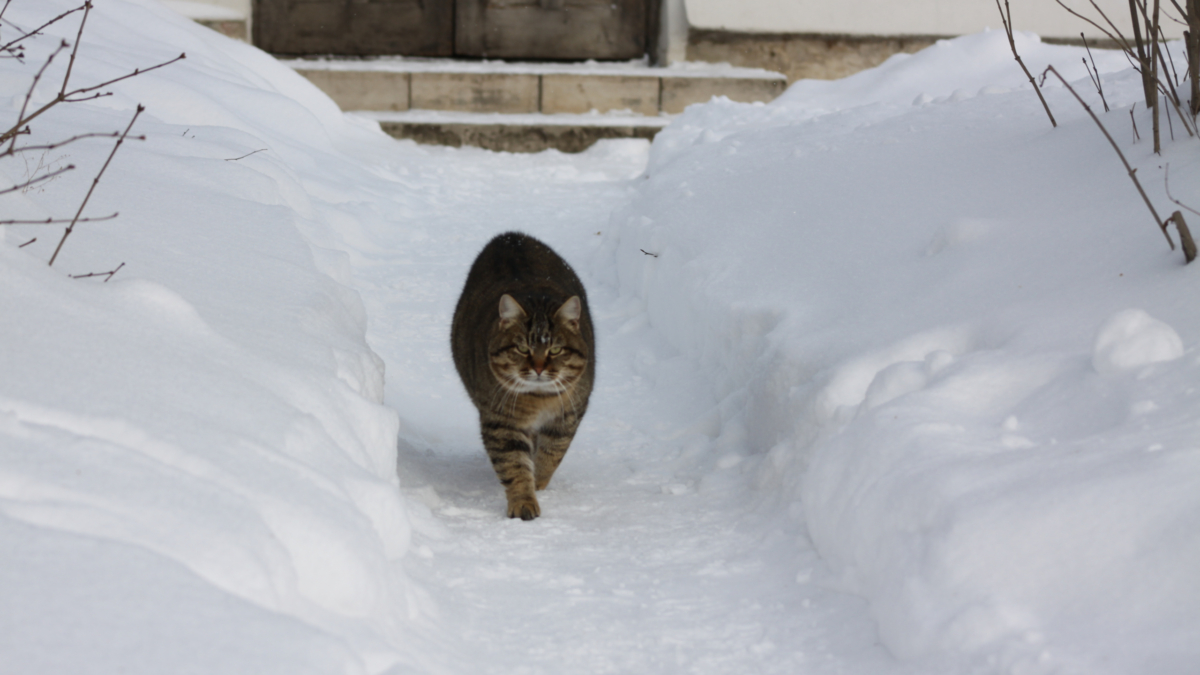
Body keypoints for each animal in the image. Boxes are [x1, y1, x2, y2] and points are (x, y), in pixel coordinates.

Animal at [451, 230, 595, 521]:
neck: (539, 399)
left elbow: (551, 454)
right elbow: (514, 465)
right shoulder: (500, 421)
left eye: (555, 349)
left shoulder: (569, 415)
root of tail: (509, 236)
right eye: (522, 348)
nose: (539, 368)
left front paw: (538, 483)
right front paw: (523, 501)